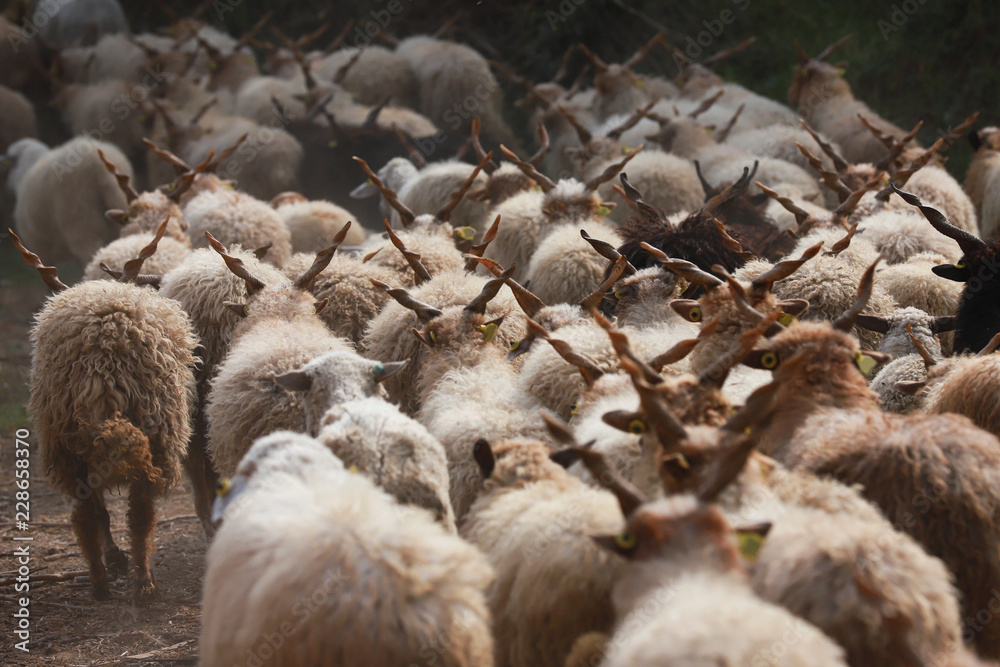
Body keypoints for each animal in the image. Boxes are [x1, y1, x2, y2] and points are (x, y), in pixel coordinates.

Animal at [12, 230, 197, 603]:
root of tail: (103, 365)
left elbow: (100, 512)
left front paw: (114, 561)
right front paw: (119, 562)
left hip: (65, 438)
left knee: (88, 511)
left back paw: (103, 582)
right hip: (157, 432)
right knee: (138, 513)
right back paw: (140, 583)